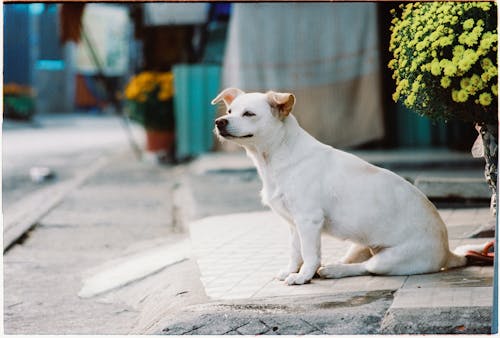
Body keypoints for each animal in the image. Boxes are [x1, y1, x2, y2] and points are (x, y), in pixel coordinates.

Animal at [211, 88, 468, 286]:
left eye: (249, 114)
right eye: (230, 111)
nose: (219, 122)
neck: (274, 157)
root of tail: (448, 252)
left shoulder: (308, 221)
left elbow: (309, 254)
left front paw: (302, 277)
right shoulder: (294, 224)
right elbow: (296, 252)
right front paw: (293, 270)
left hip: (390, 260)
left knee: (367, 268)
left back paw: (334, 270)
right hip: (359, 246)